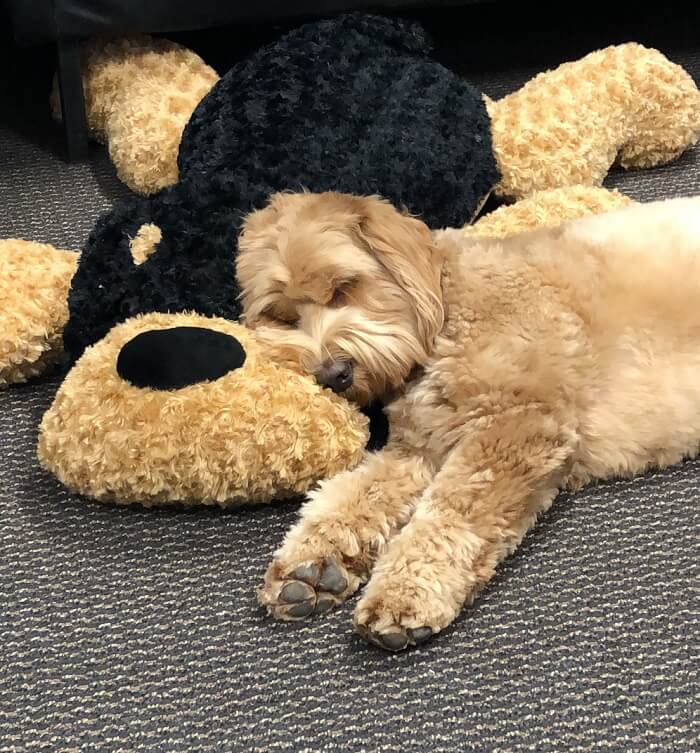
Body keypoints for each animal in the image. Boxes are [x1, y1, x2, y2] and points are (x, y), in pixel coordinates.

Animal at [237, 191, 700, 648]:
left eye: (343, 288)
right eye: (283, 317)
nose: (333, 373)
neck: (447, 306)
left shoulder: (520, 424)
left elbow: (450, 512)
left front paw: (406, 590)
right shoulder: (420, 447)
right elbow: (355, 493)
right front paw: (312, 563)